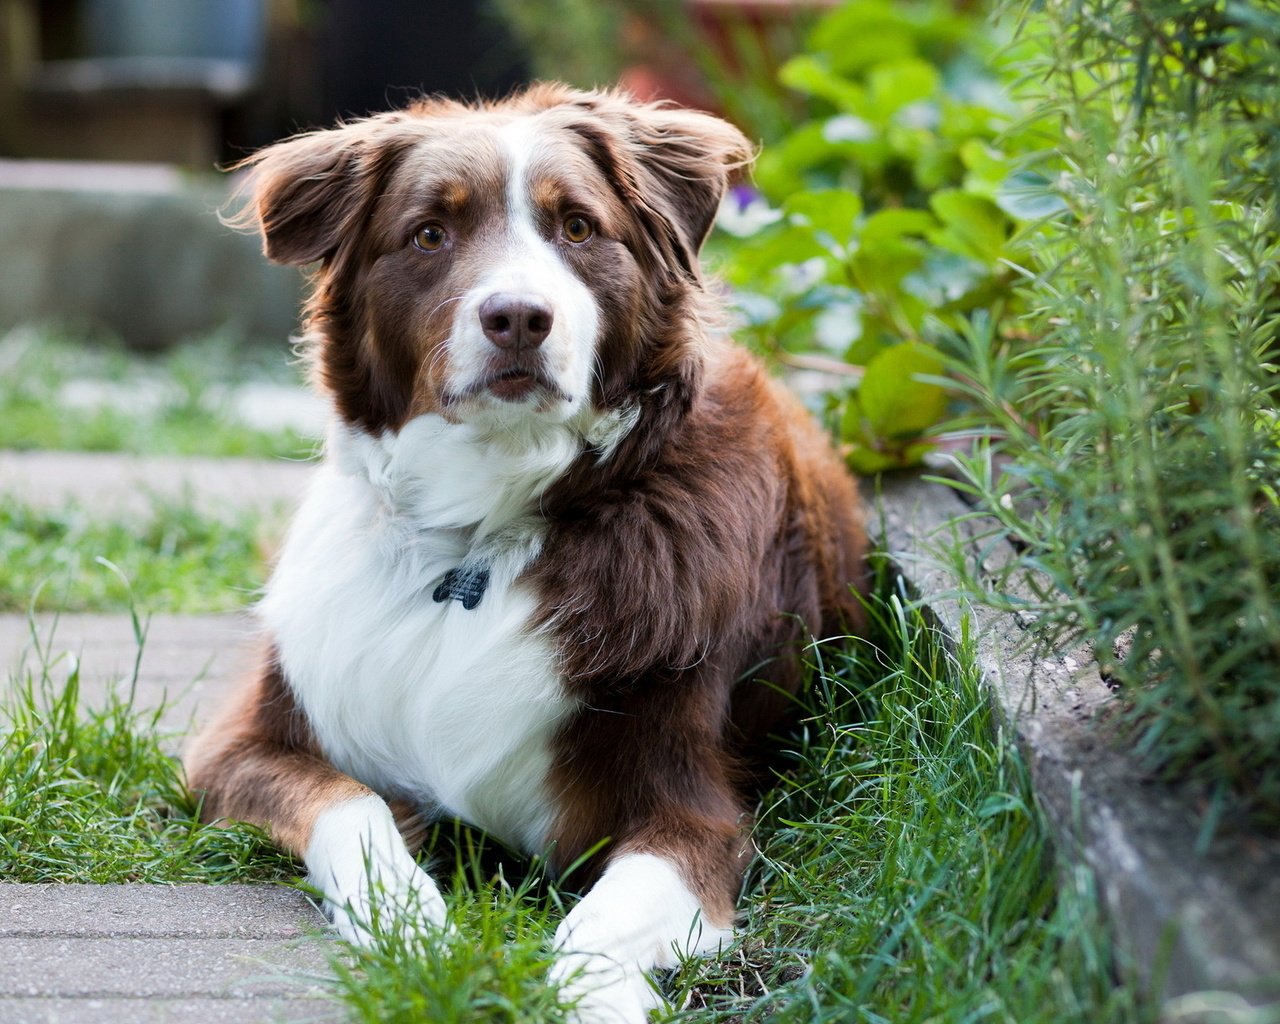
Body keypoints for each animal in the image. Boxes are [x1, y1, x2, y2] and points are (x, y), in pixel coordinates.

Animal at [185, 83, 865, 1018]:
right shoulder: (235, 748)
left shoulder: (697, 812)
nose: (517, 318)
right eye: (429, 234)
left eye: (577, 227)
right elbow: (352, 809)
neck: (480, 531)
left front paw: (596, 996)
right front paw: (409, 927)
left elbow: (601, 924)